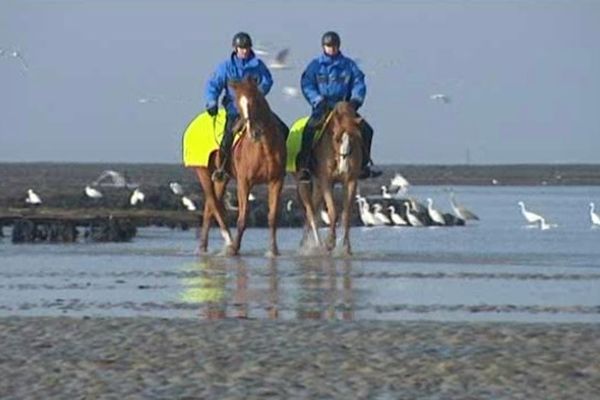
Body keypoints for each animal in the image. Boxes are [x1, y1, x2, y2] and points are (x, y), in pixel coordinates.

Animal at [192, 76, 286, 255]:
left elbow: (273, 216)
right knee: (214, 205)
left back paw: (204, 247)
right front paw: (234, 249)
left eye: (256, 100)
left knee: (209, 208)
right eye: (237, 104)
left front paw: (273, 250)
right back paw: (225, 242)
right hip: (203, 173)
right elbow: (242, 217)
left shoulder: (276, 181)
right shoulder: (244, 182)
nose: (254, 132)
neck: (264, 148)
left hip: (221, 180)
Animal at [296, 101, 364, 255]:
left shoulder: (351, 181)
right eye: (336, 138)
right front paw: (330, 243)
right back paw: (312, 244)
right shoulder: (326, 181)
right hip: (306, 183)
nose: (344, 167)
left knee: (313, 208)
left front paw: (346, 247)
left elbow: (346, 215)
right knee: (310, 210)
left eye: (354, 138)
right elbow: (332, 212)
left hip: (318, 185)